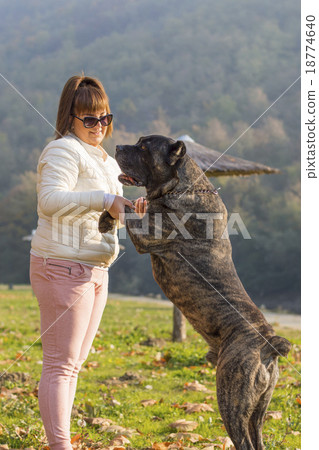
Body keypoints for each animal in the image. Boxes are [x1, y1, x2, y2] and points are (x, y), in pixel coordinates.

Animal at [99, 134, 292, 450]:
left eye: (144, 148)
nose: (118, 147)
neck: (181, 186)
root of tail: (269, 344)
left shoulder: (145, 232)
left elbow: (126, 206)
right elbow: (126, 203)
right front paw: (104, 219)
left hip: (232, 397)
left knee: (243, 440)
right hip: (258, 410)